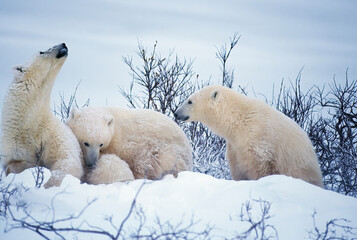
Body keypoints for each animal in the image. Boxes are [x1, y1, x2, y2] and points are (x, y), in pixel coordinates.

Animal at [0, 43, 83, 188]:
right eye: (42, 51)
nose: (63, 44)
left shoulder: (54, 136)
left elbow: (67, 161)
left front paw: (48, 183)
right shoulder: (13, 145)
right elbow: (13, 163)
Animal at [175, 85, 322, 188]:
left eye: (189, 101)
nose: (176, 113)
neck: (239, 120)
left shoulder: (258, 140)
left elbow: (259, 166)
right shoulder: (235, 147)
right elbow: (237, 168)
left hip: (298, 167)